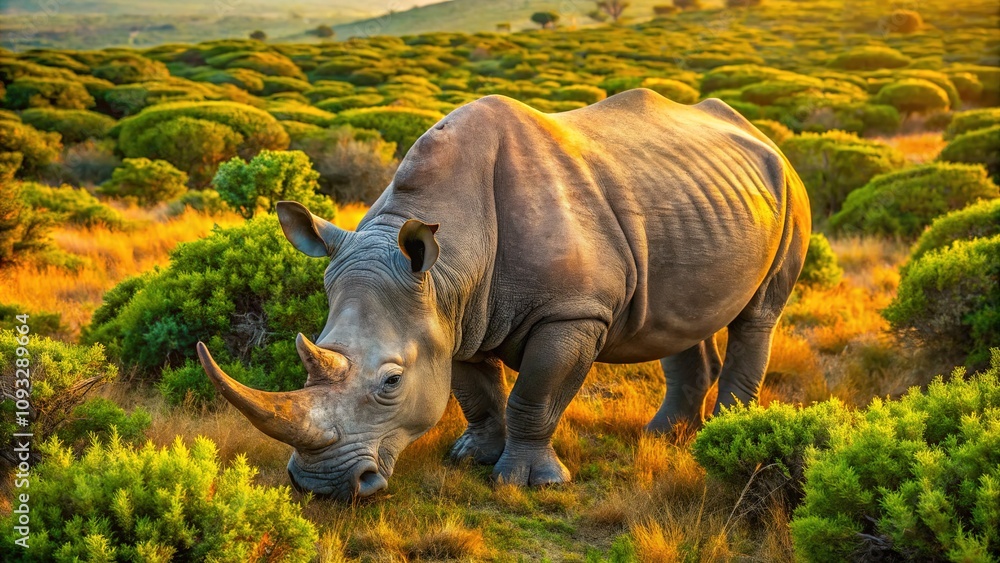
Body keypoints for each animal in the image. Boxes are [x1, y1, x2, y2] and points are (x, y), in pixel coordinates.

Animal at [196, 89, 811, 501]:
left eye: (391, 382)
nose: (319, 487)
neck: (450, 261)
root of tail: (764, 136)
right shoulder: (450, 312)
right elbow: (477, 393)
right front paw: (471, 457)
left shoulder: (571, 314)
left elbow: (534, 396)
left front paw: (526, 483)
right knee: (679, 317)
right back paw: (661, 437)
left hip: (790, 189)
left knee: (758, 315)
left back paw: (723, 438)